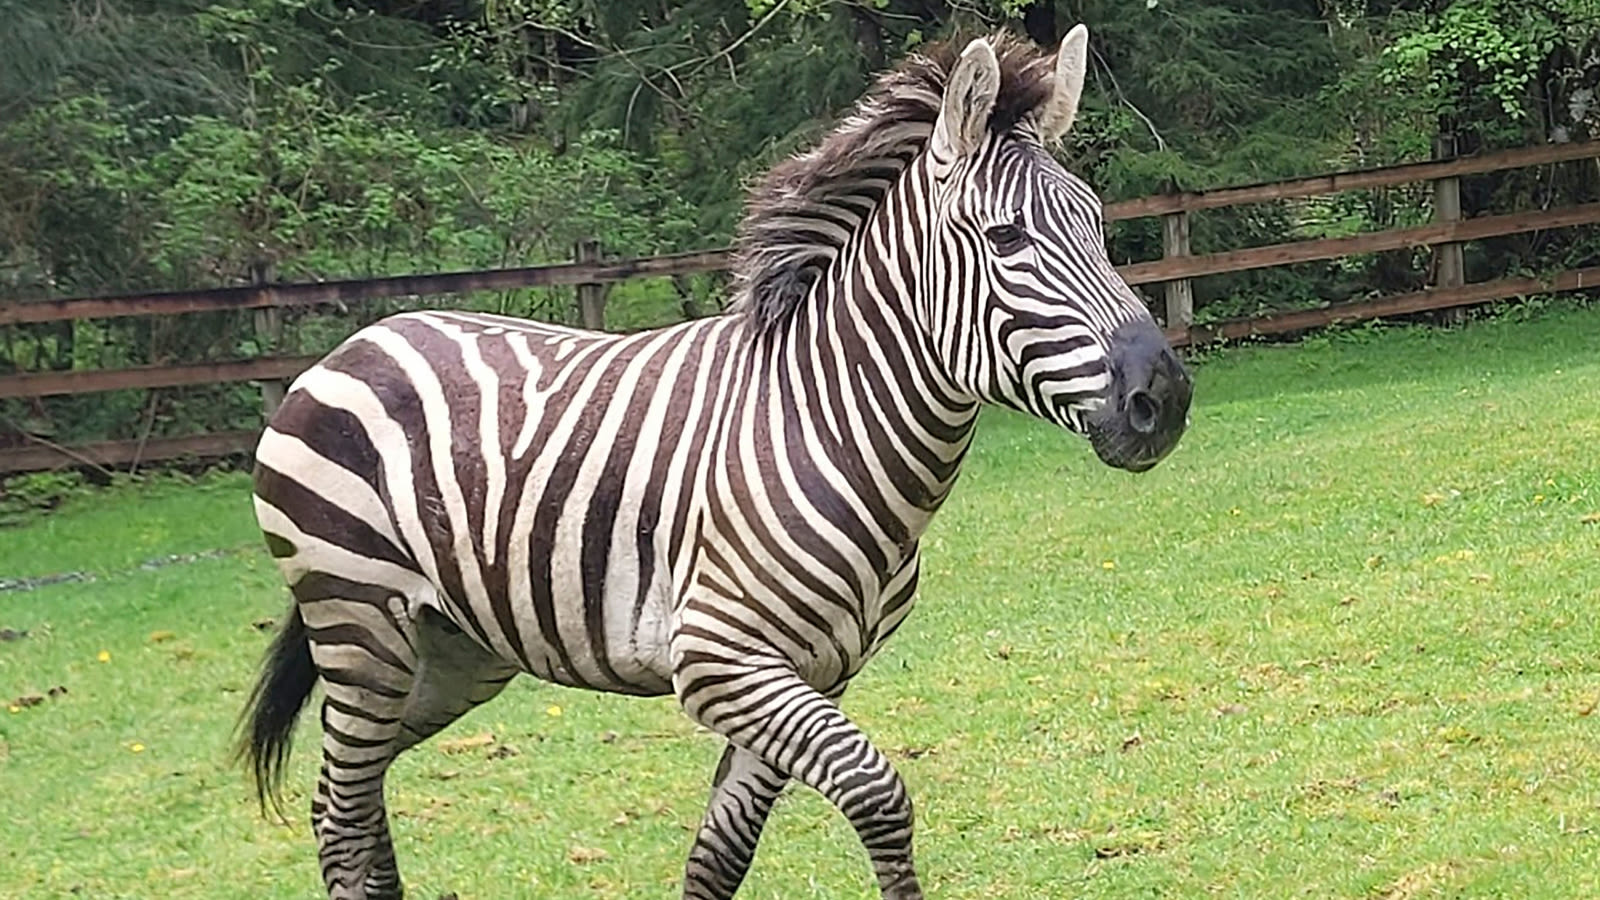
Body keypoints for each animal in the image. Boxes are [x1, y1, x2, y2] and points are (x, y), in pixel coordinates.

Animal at [236, 26, 1190, 896]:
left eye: (1098, 226)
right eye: (1006, 239)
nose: (1167, 397)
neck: (828, 428)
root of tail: (353, 342)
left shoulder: (813, 672)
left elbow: (719, 856)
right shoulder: (719, 660)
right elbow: (879, 793)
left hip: (452, 651)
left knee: (350, 797)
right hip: (360, 622)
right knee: (342, 812)